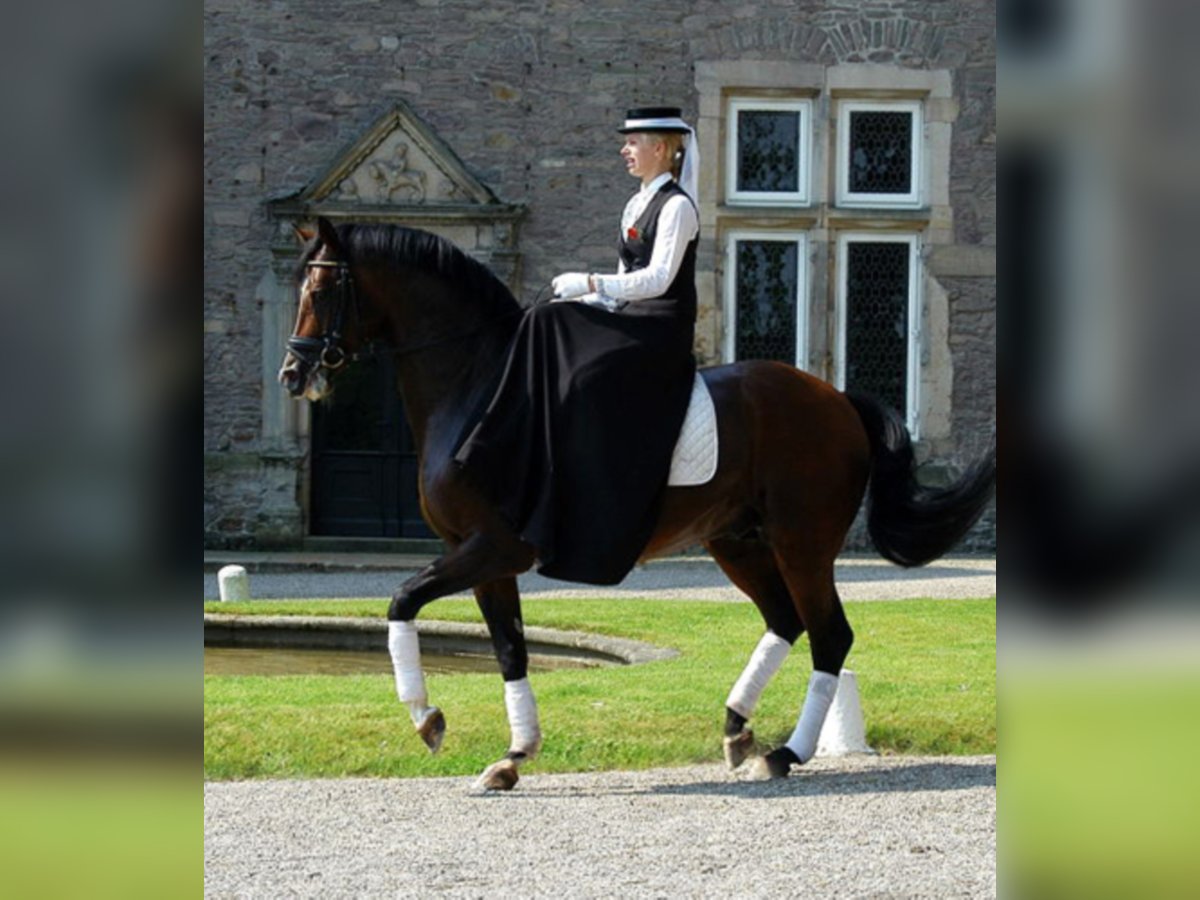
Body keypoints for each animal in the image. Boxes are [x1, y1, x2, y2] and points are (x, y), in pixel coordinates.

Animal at [278, 217, 993, 787]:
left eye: (320, 290)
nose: (292, 373)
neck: (476, 387)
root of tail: (837, 399)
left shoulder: (493, 547)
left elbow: (401, 600)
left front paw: (428, 718)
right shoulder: (481, 556)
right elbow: (509, 649)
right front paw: (512, 756)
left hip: (803, 542)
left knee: (829, 634)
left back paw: (785, 753)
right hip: (737, 541)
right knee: (787, 621)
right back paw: (738, 728)